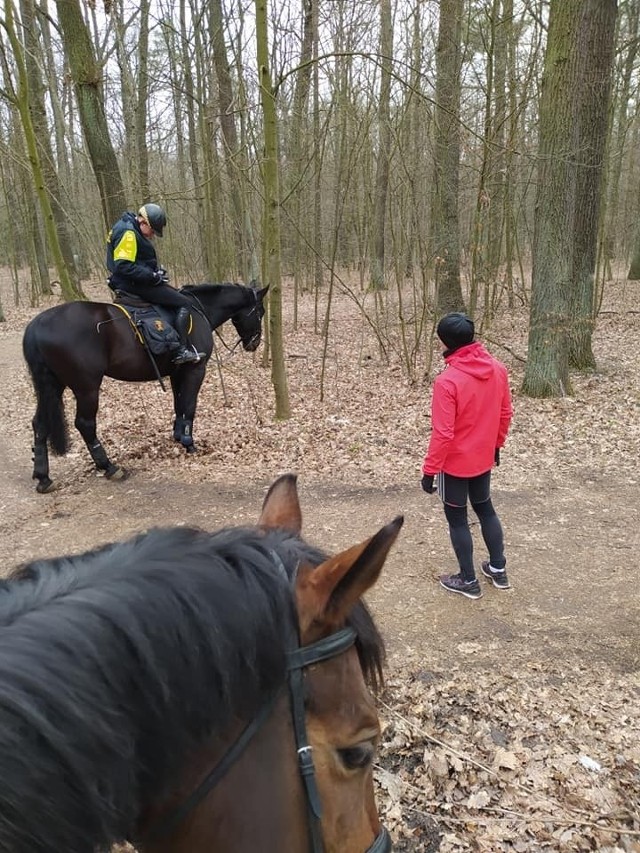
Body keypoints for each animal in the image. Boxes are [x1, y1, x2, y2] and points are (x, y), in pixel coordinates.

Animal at [21, 282, 268, 490]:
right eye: (260, 311)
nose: (255, 343)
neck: (199, 311)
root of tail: (36, 325)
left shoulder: (177, 373)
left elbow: (179, 406)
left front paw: (178, 436)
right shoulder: (195, 370)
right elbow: (189, 406)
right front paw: (189, 443)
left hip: (52, 386)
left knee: (40, 424)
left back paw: (43, 477)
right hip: (86, 388)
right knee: (85, 424)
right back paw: (109, 467)